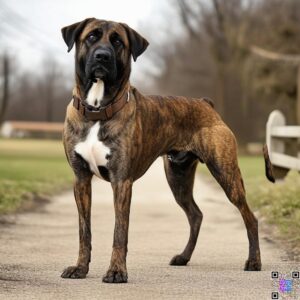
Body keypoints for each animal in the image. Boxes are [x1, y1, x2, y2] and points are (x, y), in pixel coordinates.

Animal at [59, 18, 274, 284]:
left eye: (118, 41)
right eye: (91, 37)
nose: (102, 56)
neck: (98, 110)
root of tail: (206, 104)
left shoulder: (121, 182)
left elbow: (120, 232)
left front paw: (117, 271)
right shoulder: (81, 180)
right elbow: (84, 231)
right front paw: (80, 268)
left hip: (226, 174)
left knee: (249, 217)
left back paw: (254, 261)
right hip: (178, 178)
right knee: (195, 215)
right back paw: (183, 257)